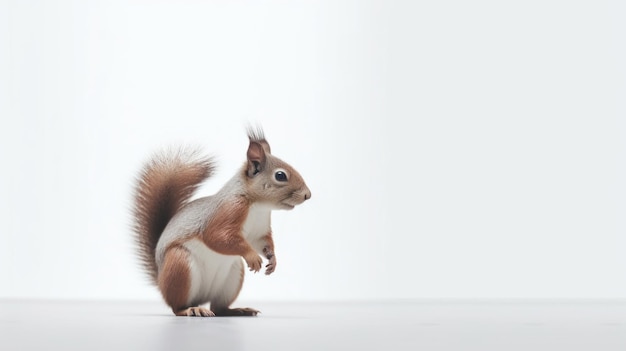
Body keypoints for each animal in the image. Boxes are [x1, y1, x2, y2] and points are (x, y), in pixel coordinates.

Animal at [131, 127, 310, 320]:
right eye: (280, 175)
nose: (308, 195)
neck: (257, 205)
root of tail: (161, 278)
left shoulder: (259, 231)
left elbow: (262, 243)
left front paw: (273, 259)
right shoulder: (228, 211)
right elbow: (216, 237)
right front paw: (253, 257)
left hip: (232, 278)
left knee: (219, 308)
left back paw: (238, 310)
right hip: (179, 266)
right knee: (177, 307)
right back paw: (191, 310)